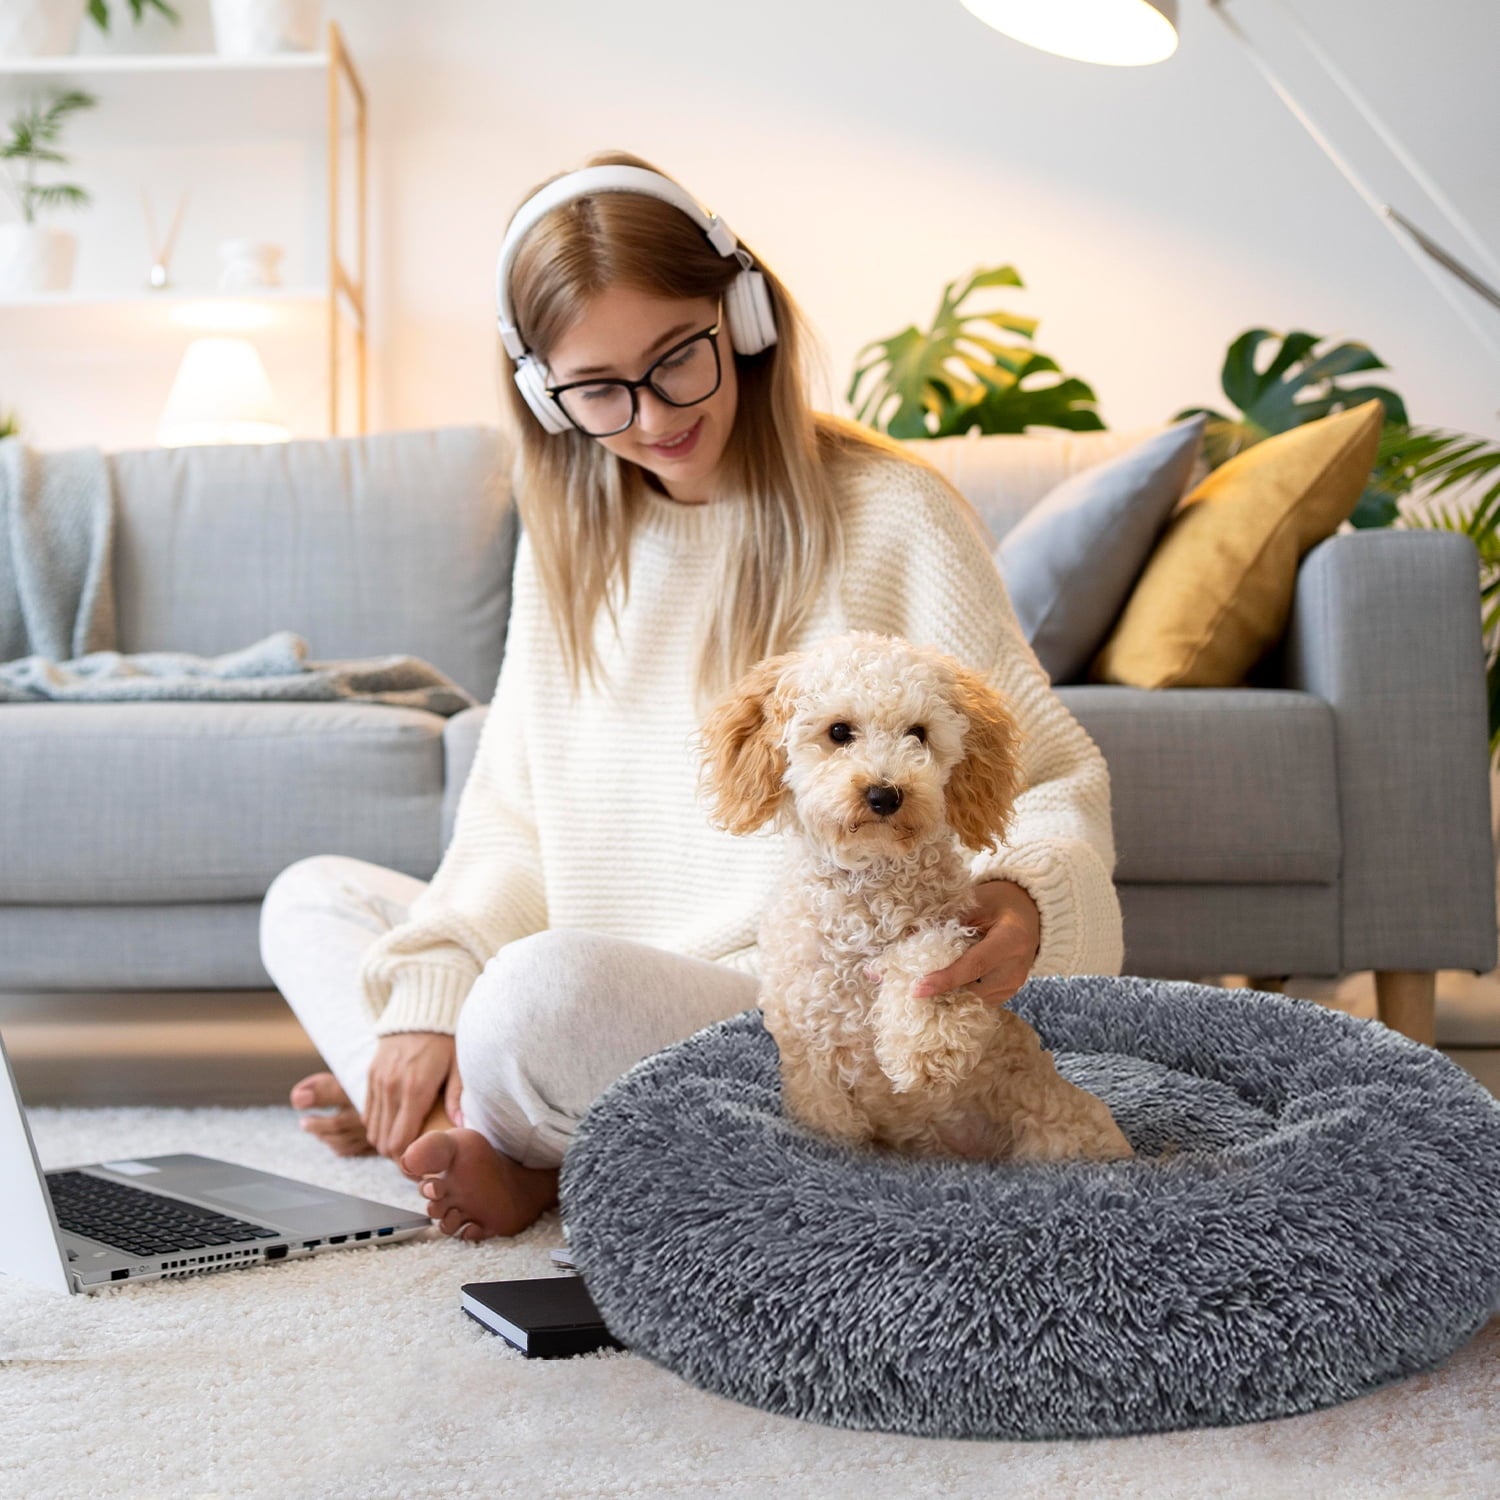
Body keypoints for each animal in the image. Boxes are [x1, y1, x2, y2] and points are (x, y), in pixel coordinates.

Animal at [696, 627, 1128, 1164]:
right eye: (839, 732)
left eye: (918, 733)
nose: (885, 794)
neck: (870, 887)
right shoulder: (812, 1060)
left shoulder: (959, 935)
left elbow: (928, 955)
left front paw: (924, 1050)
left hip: (1059, 1125)